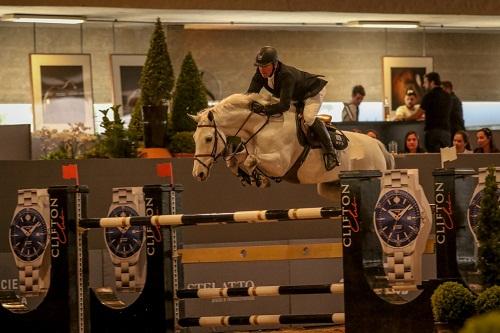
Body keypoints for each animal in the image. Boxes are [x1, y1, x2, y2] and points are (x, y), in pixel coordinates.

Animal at [191, 94, 394, 202]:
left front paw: (259, 178)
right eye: (194, 138)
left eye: (208, 138)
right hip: (329, 185)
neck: (259, 128)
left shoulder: (280, 164)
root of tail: (378, 145)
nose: (197, 174)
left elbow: (251, 160)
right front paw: (250, 177)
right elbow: (234, 159)